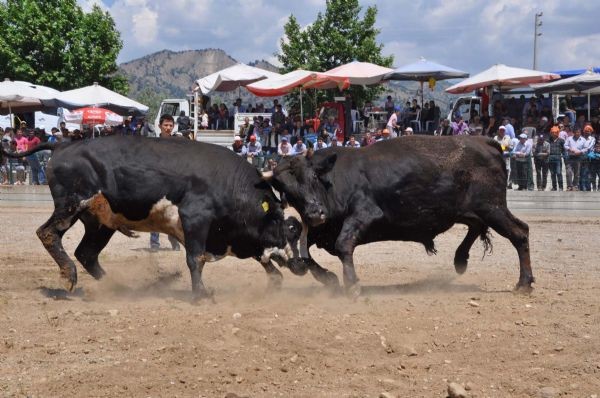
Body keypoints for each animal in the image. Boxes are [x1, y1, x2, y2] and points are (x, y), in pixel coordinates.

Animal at [0, 137, 340, 298]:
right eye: (291, 229)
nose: (300, 265)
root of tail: (63, 144)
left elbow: (264, 262)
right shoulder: (195, 220)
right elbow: (195, 259)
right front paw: (200, 293)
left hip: (100, 223)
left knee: (87, 253)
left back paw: (117, 288)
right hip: (70, 205)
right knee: (48, 233)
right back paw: (69, 276)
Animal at [272, 135, 536, 294]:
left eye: (313, 178)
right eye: (288, 192)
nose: (315, 213)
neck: (333, 179)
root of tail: (485, 141)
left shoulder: (365, 214)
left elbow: (343, 244)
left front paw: (352, 283)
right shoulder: (322, 229)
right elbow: (302, 251)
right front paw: (327, 278)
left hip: (492, 208)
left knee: (520, 232)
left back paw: (524, 283)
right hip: (471, 210)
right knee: (477, 227)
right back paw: (460, 259)